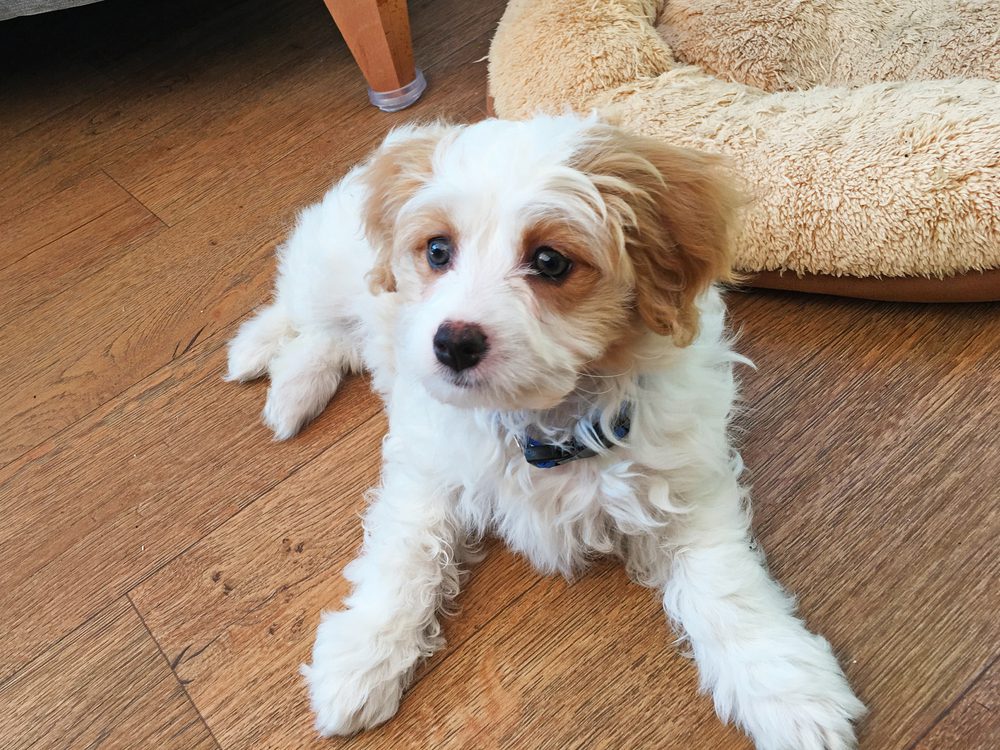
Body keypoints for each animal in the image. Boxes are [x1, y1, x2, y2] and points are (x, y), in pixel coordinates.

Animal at [229, 113, 868, 750]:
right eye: (438, 250)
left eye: (550, 262)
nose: (452, 343)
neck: (544, 426)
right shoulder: (428, 470)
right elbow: (404, 555)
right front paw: (360, 658)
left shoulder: (684, 485)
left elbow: (727, 586)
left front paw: (787, 691)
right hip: (334, 274)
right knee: (303, 317)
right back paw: (269, 369)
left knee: (331, 338)